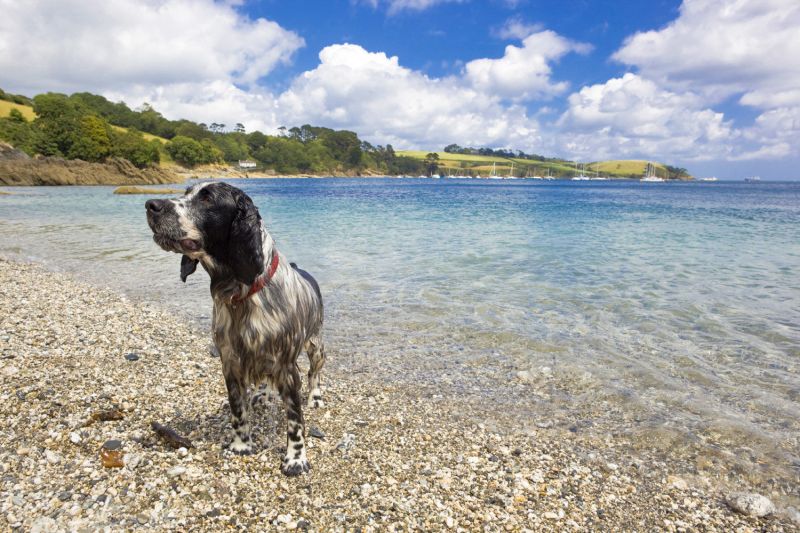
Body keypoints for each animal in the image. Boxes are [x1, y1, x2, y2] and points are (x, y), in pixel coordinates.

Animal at [147, 182, 324, 474]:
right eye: (186, 192)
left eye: (207, 198)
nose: (151, 205)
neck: (242, 293)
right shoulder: (230, 363)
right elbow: (238, 411)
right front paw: (242, 445)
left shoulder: (287, 368)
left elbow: (295, 421)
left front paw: (296, 458)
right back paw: (263, 394)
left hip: (317, 346)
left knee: (315, 374)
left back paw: (316, 397)